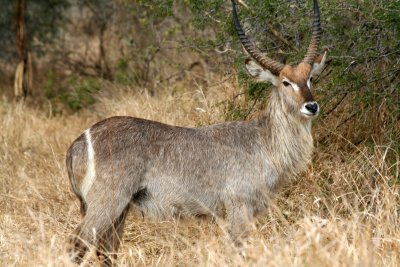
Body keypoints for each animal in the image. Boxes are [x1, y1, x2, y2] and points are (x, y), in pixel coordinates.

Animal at [66, 0, 328, 266]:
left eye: (310, 78)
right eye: (285, 82)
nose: (311, 106)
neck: (263, 142)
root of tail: (79, 141)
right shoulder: (238, 208)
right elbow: (239, 251)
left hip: (120, 211)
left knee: (106, 251)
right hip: (107, 203)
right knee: (77, 244)